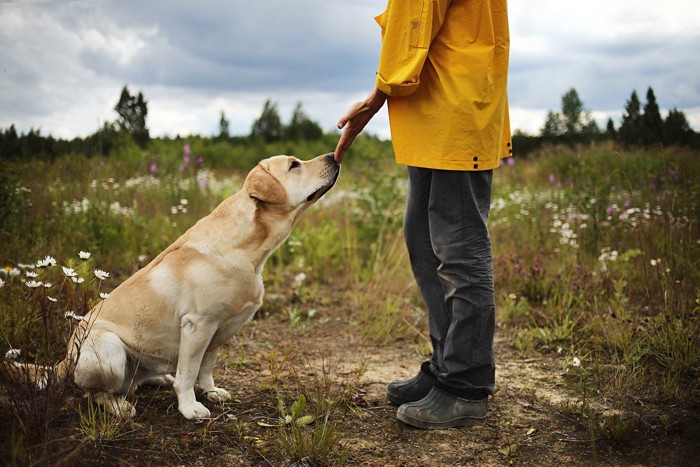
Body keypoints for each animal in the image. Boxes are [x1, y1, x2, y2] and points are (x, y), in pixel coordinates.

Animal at [35, 154, 340, 420]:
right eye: (294, 165)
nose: (333, 156)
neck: (246, 249)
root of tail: (63, 361)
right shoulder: (198, 325)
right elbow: (189, 373)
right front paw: (190, 408)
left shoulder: (218, 330)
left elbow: (206, 366)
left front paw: (211, 391)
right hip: (108, 349)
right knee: (94, 394)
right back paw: (120, 407)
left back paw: (159, 377)